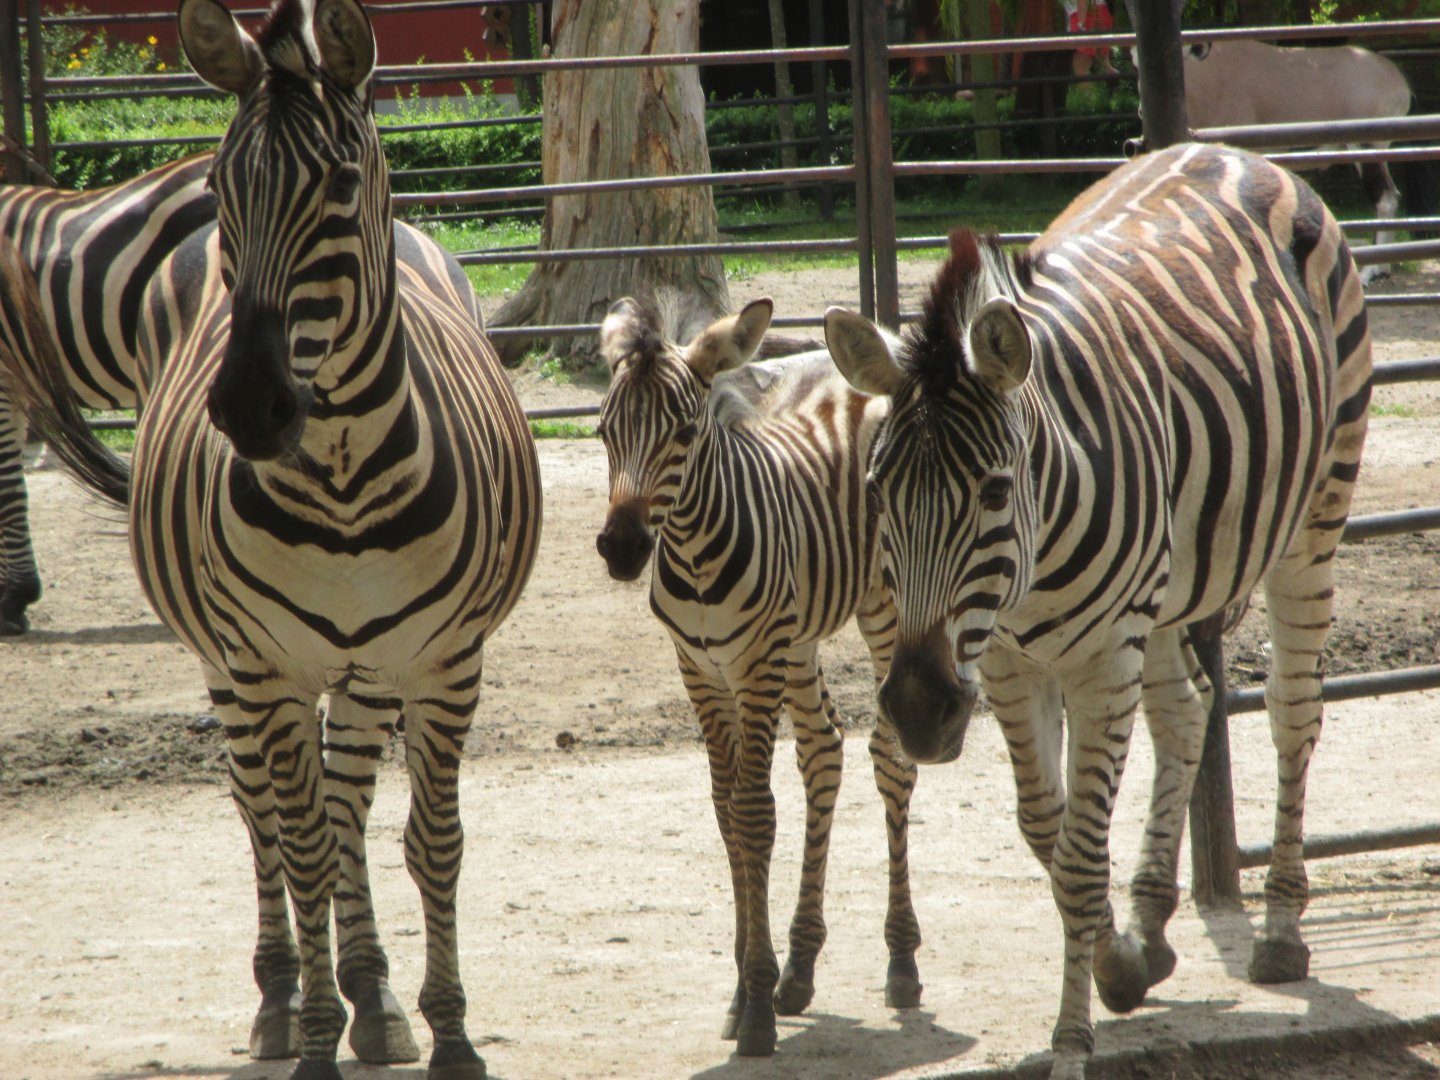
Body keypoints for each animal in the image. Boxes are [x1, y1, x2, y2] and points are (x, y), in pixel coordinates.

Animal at [6, 1, 542, 1077]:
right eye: (224, 186)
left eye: (336, 184)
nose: (250, 408)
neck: (344, 479)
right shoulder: (267, 664)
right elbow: (300, 848)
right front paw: (316, 1039)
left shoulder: (446, 662)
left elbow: (430, 843)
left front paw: (450, 1032)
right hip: (232, 664)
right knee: (263, 810)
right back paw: (287, 1000)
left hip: (369, 670)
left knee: (349, 808)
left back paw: (375, 999)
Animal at [594, 295, 922, 1057]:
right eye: (602, 432)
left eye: (684, 433)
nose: (621, 549)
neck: (692, 553)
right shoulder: (702, 670)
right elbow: (726, 815)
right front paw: (749, 991)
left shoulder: (755, 664)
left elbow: (754, 814)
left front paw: (757, 1010)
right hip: (797, 641)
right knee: (824, 750)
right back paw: (801, 969)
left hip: (879, 609)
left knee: (890, 759)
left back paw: (900, 961)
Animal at [823, 142, 1372, 1080]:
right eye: (876, 488)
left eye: (994, 491)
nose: (918, 711)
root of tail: (1239, 155)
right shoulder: (1010, 661)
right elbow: (1048, 833)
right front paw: (1120, 960)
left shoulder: (1101, 655)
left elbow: (1079, 858)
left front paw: (1073, 1041)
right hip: (1167, 583)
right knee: (1187, 707)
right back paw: (1152, 922)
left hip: (1314, 516)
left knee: (1293, 709)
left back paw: (1279, 930)